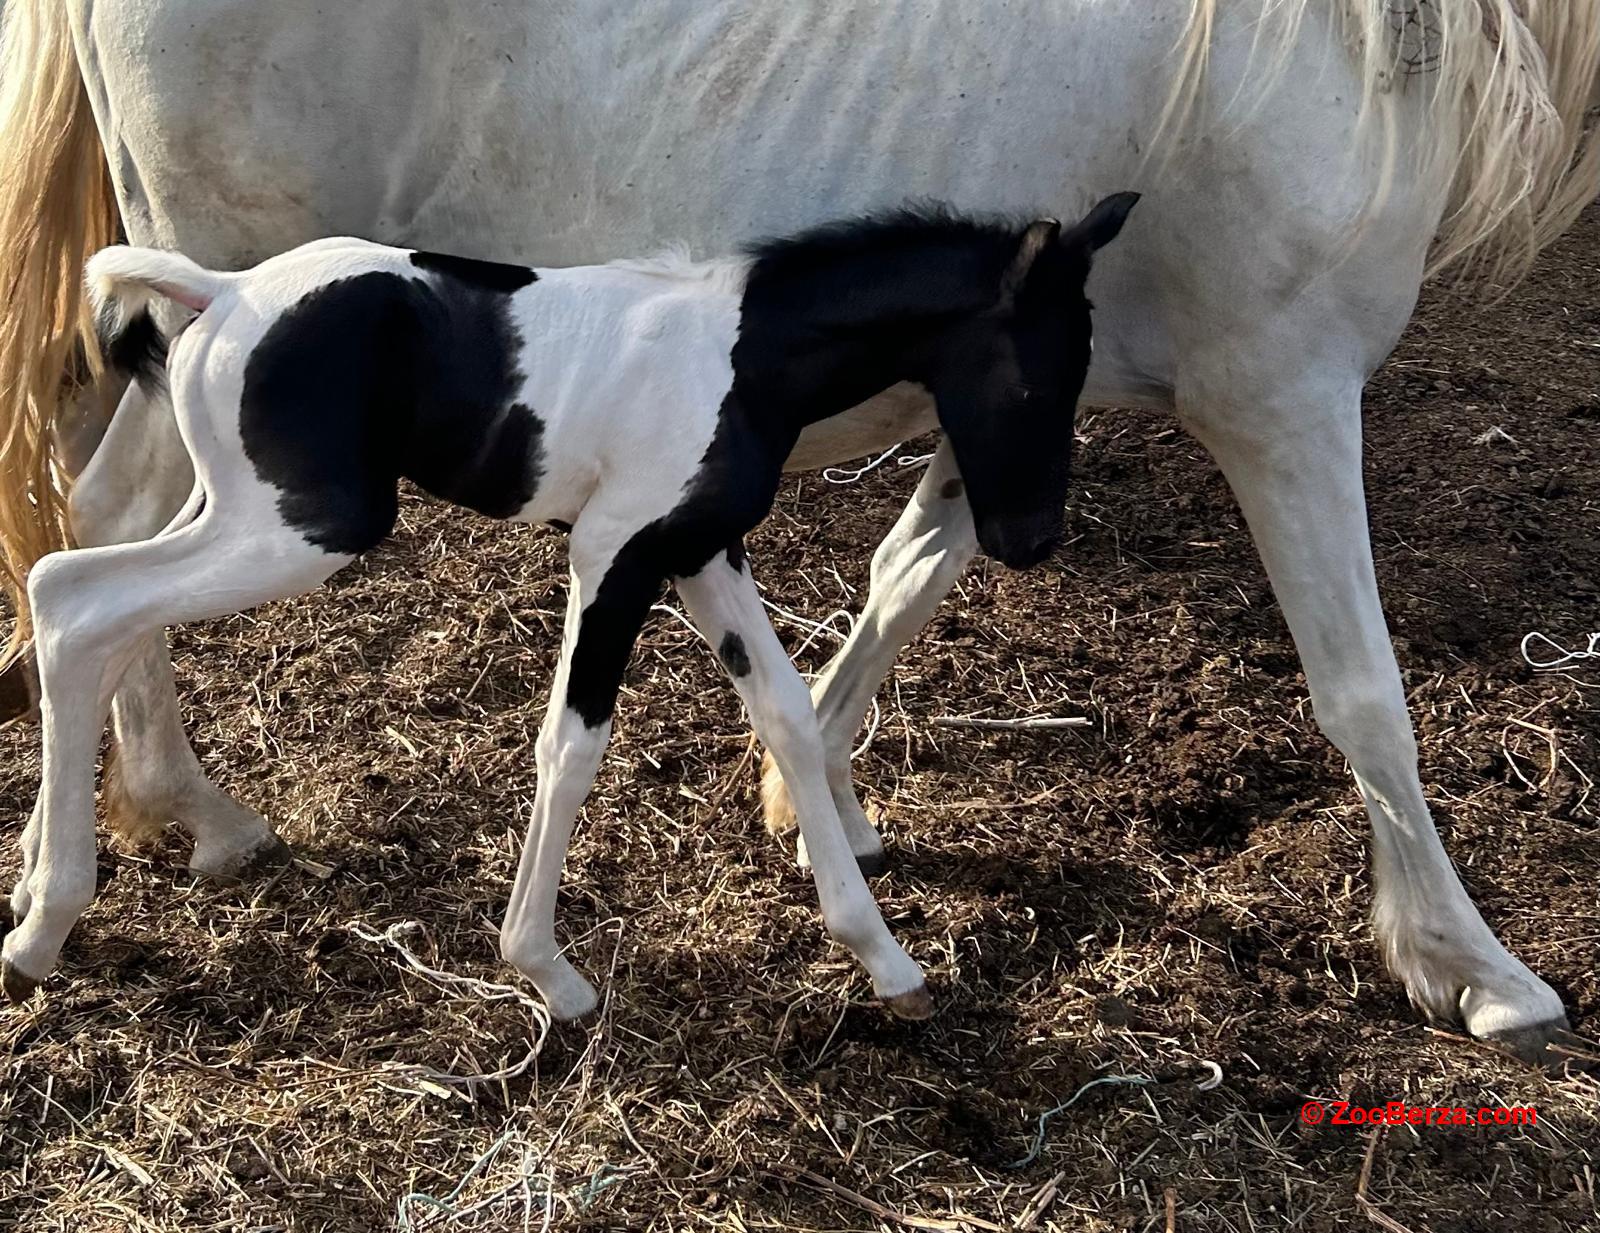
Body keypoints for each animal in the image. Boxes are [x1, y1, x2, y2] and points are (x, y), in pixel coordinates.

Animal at [9, 197, 1139, 1017]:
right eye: (1040, 380)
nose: (1030, 538)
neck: (740, 358)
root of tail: (225, 292)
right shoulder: (613, 553)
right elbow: (574, 739)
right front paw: (545, 968)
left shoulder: (700, 552)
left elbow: (785, 714)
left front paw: (887, 960)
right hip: (300, 530)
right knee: (77, 599)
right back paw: (44, 925)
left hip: (240, 515)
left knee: (86, 601)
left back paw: (40, 888)